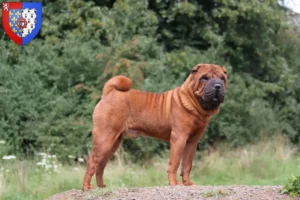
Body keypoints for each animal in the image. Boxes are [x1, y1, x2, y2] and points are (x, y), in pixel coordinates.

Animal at [82, 63, 227, 191]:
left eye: (222, 78)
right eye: (204, 78)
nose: (218, 86)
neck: (195, 103)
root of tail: (109, 93)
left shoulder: (192, 142)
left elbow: (187, 165)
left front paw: (188, 183)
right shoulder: (179, 138)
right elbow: (174, 163)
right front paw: (174, 183)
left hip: (113, 143)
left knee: (101, 164)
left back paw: (101, 186)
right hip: (104, 138)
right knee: (92, 162)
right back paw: (86, 187)